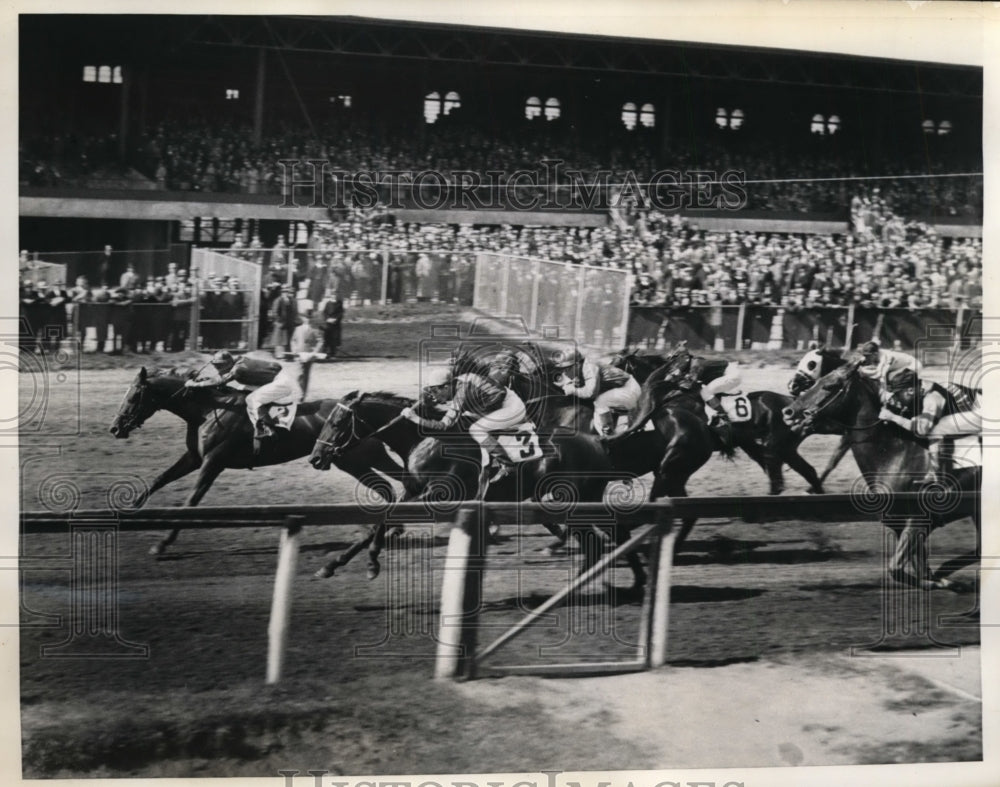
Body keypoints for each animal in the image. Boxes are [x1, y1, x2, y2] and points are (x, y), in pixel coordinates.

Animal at [110, 368, 406, 556]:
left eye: (134, 396)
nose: (115, 428)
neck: (208, 410)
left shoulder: (213, 462)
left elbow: (191, 501)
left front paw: (163, 543)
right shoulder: (195, 457)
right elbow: (160, 479)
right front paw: (129, 510)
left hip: (357, 460)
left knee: (392, 487)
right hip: (361, 460)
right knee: (395, 486)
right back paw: (393, 527)